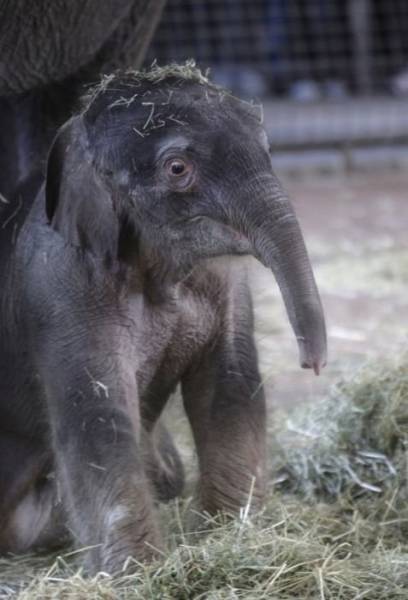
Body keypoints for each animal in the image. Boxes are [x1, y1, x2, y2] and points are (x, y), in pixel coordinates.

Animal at [0, 63, 326, 576]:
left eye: (269, 148)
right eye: (177, 169)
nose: (312, 363)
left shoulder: (221, 278)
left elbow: (229, 383)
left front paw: (230, 536)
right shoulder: (59, 286)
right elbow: (98, 413)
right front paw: (139, 575)